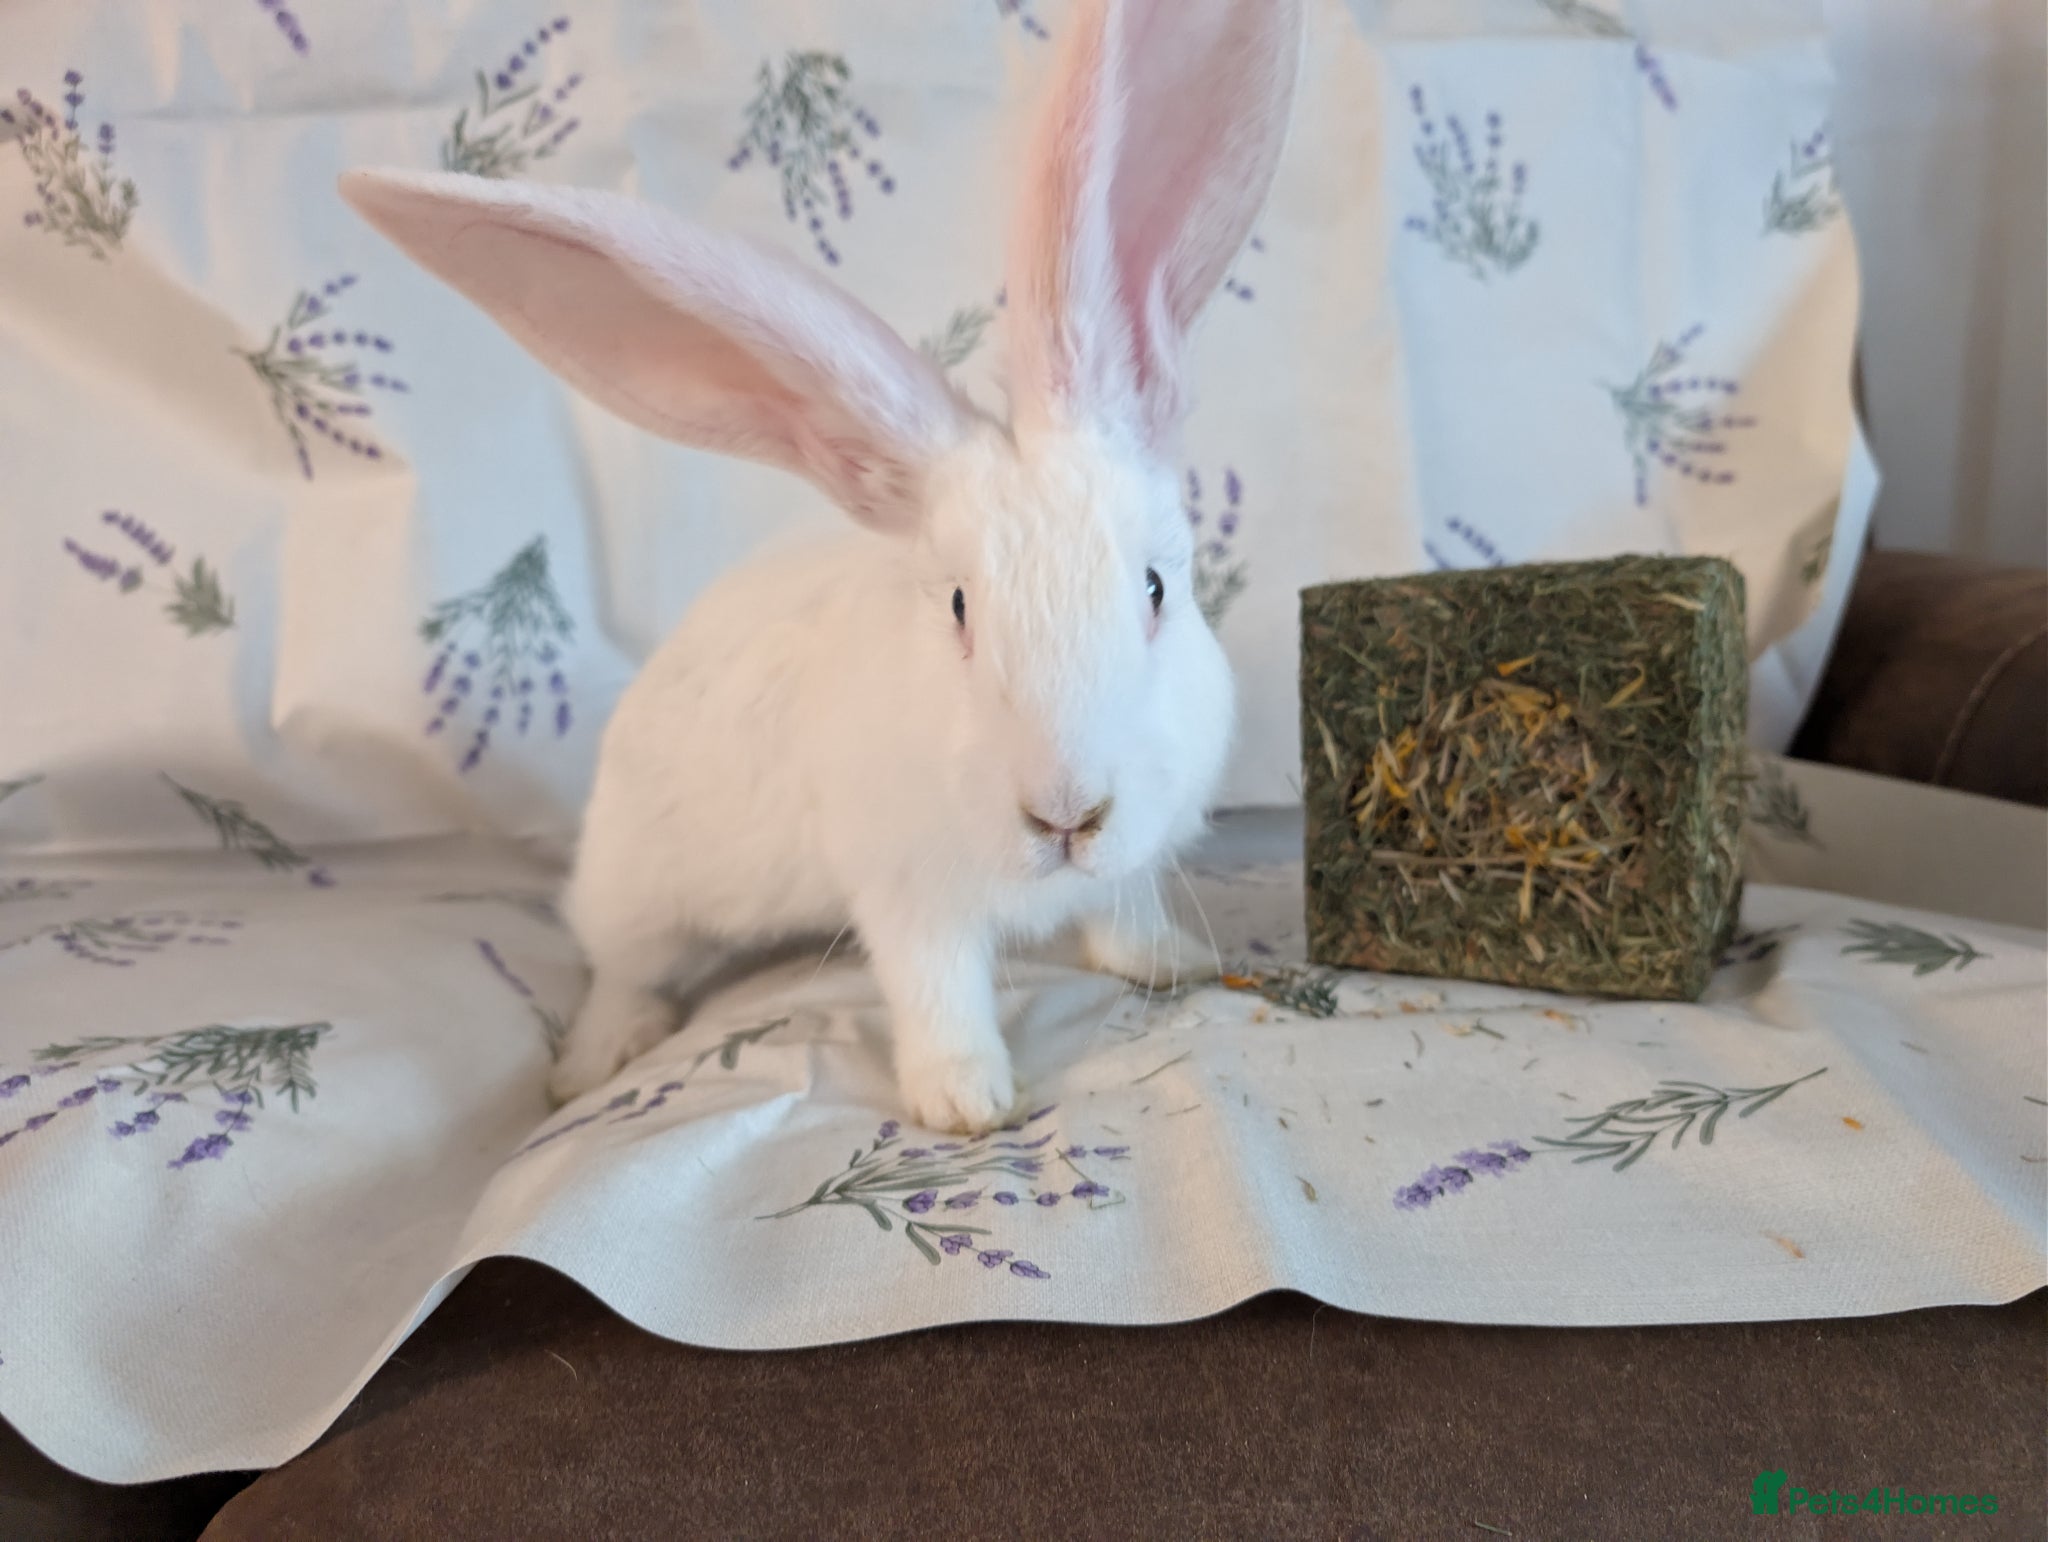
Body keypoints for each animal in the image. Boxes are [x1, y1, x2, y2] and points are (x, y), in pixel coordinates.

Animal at [341, 0, 1304, 1133]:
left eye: (1154, 589)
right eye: (958, 606)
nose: (1066, 811)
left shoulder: (1131, 859)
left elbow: (1124, 906)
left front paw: (1169, 963)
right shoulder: (907, 892)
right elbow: (935, 988)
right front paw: (965, 1102)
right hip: (636, 886)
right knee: (620, 965)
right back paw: (600, 1057)